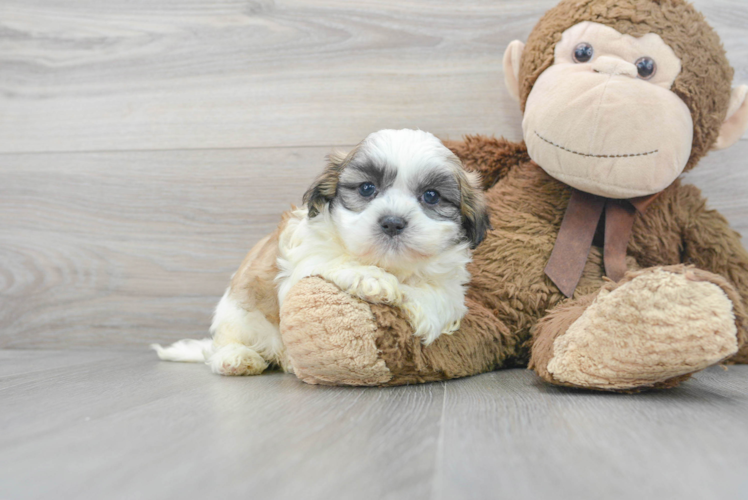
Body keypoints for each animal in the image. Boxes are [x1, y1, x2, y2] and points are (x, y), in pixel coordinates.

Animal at [152, 129, 490, 376]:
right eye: (367, 188)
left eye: (431, 196)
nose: (393, 222)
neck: (390, 264)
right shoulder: (299, 263)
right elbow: (332, 260)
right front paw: (374, 279)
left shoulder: (451, 282)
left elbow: (445, 297)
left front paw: (425, 312)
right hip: (236, 315)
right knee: (226, 344)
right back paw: (237, 358)